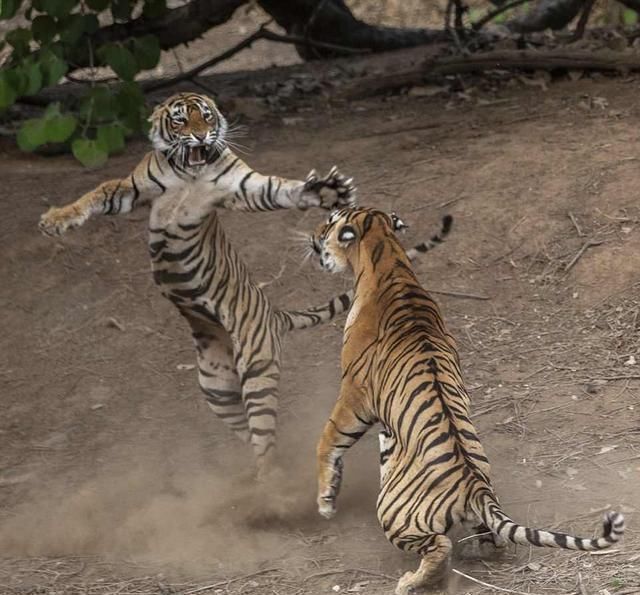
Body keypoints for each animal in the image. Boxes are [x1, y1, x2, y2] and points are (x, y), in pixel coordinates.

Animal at [309, 207, 625, 594]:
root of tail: (475, 487)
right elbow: (385, 447)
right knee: (494, 540)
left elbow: (328, 441)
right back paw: (474, 551)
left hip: (393, 513)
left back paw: (410, 582)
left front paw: (325, 502)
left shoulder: (354, 396)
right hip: (479, 512)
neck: (387, 256)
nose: (314, 235)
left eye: (329, 222)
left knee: (439, 546)